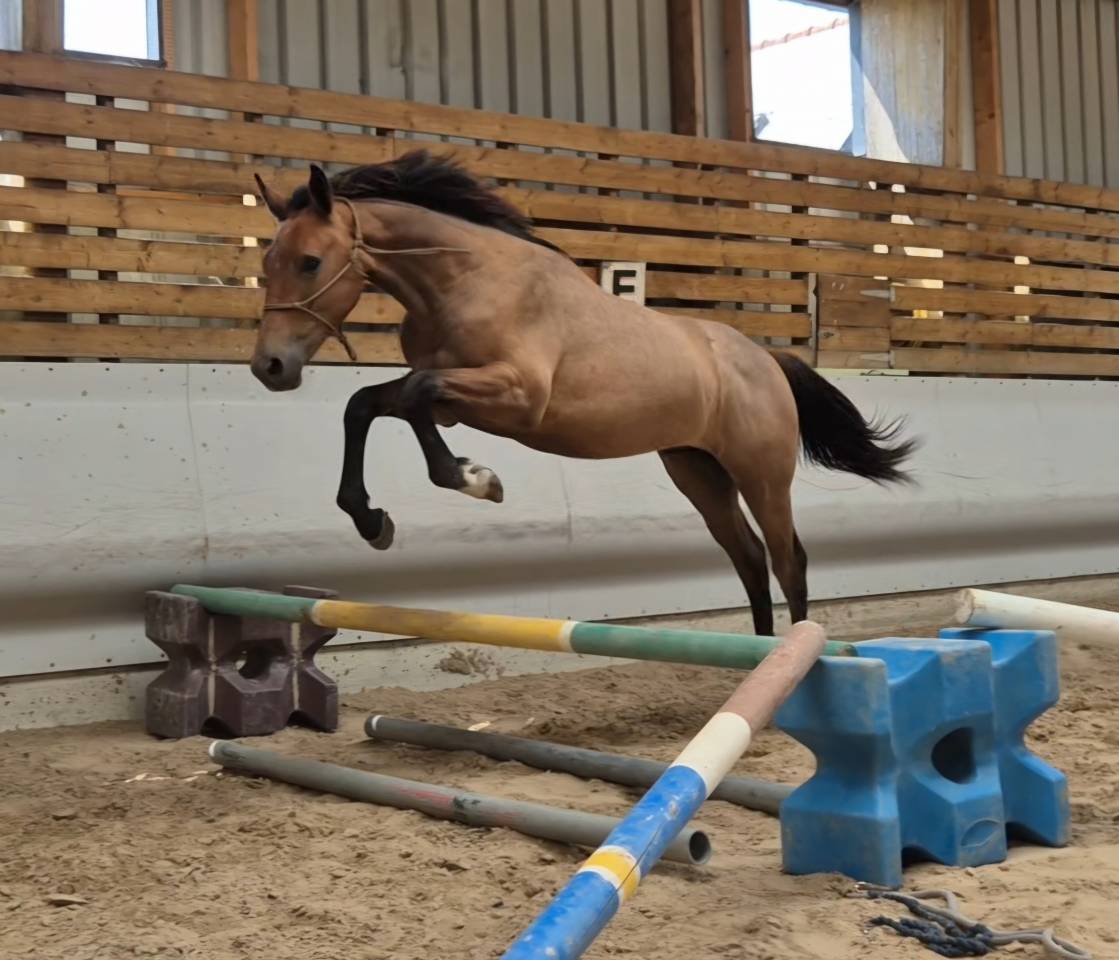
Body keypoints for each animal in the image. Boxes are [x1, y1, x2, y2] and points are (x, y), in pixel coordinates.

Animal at [250, 150, 917, 636]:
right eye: (268, 263)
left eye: (310, 262)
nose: (270, 367)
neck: (469, 280)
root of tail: (765, 359)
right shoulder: (456, 402)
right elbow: (368, 404)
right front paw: (371, 519)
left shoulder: (517, 397)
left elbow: (415, 397)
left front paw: (476, 480)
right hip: (698, 471)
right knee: (750, 559)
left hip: (762, 474)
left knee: (787, 560)